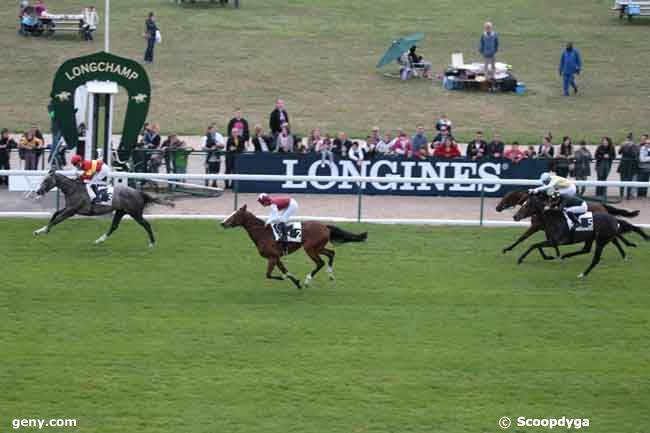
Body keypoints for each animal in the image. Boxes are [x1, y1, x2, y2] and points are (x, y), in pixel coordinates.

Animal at [32, 170, 175, 246]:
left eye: (46, 181)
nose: (38, 191)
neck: (73, 189)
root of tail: (138, 192)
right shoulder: (69, 208)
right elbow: (55, 214)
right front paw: (39, 231)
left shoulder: (71, 210)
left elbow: (57, 219)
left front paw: (45, 230)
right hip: (120, 211)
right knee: (114, 226)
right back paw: (99, 240)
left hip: (135, 213)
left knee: (146, 224)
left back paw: (152, 243)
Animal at [221, 204, 364, 288]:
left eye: (235, 215)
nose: (222, 223)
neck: (263, 233)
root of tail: (325, 226)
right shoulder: (276, 258)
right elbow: (284, 270)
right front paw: (296, 283)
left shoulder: (272, 257)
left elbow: (269, 274)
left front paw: (289, 279)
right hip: (317, 247)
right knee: (331, 253)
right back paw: (330, 275)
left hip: (310, 249)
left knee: (320, 262)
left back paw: (308, 280)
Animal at [494, 191, 636, 255]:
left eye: (506, 198)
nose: (497, 207)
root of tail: (602, 205)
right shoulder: (543, 228)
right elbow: (526, 238)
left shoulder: (536, 226)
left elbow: (523, 238)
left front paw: (507, 248)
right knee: (615, 236)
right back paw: (626, 248)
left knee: (616, 235)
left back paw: (628, 246)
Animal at [508, 192, 644, 276]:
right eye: (523, 203)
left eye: (527, 205)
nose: (515, 216)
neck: (553, 219)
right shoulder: (551, 239)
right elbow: (537, 245)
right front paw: (551, 256)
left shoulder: (555, 240)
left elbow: (534, 245)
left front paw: (520, 259)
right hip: (592, 237)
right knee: (590, 248)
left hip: (598, 237)